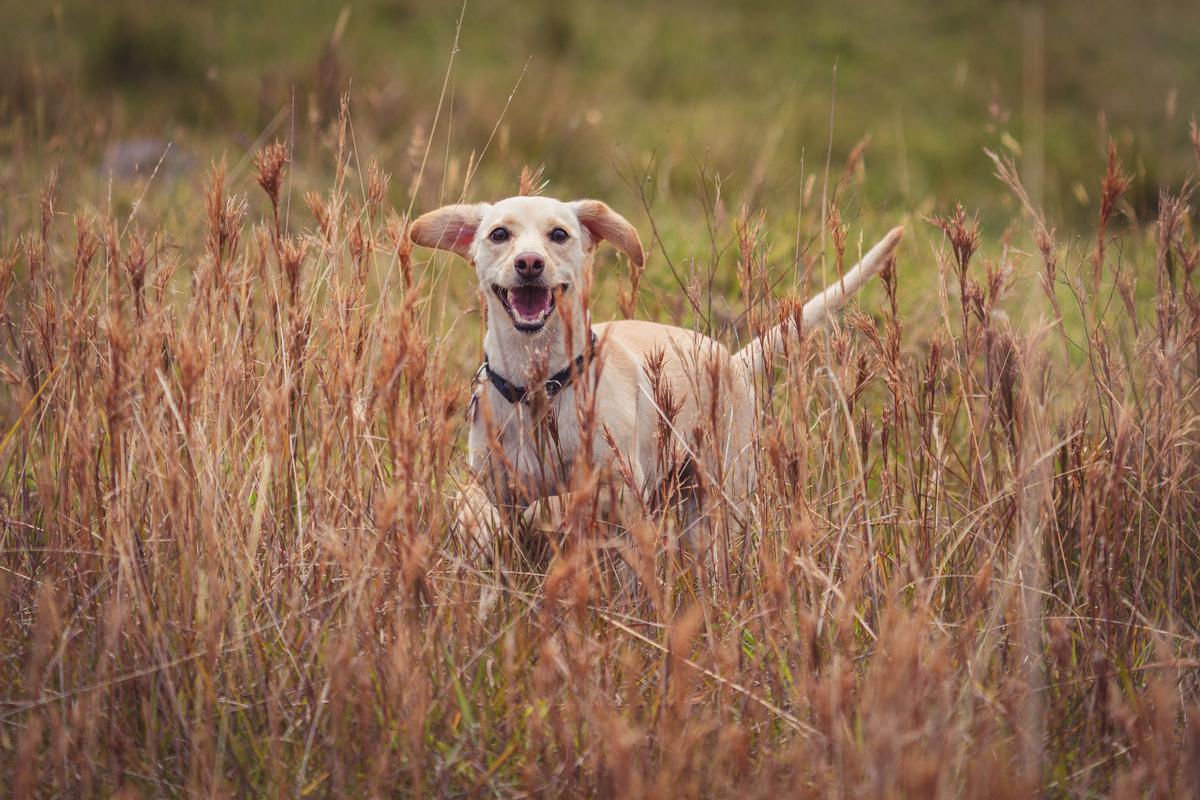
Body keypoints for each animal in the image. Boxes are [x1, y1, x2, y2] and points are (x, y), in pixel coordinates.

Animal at [410, 196, 902, 566]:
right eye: (499, 234)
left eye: (559, 235)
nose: (529, 263)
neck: (539, 388)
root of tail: (731, 360)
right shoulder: (498, 486)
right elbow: (490, 516)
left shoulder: (620, 494)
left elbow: (566, 514)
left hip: (718, 497)